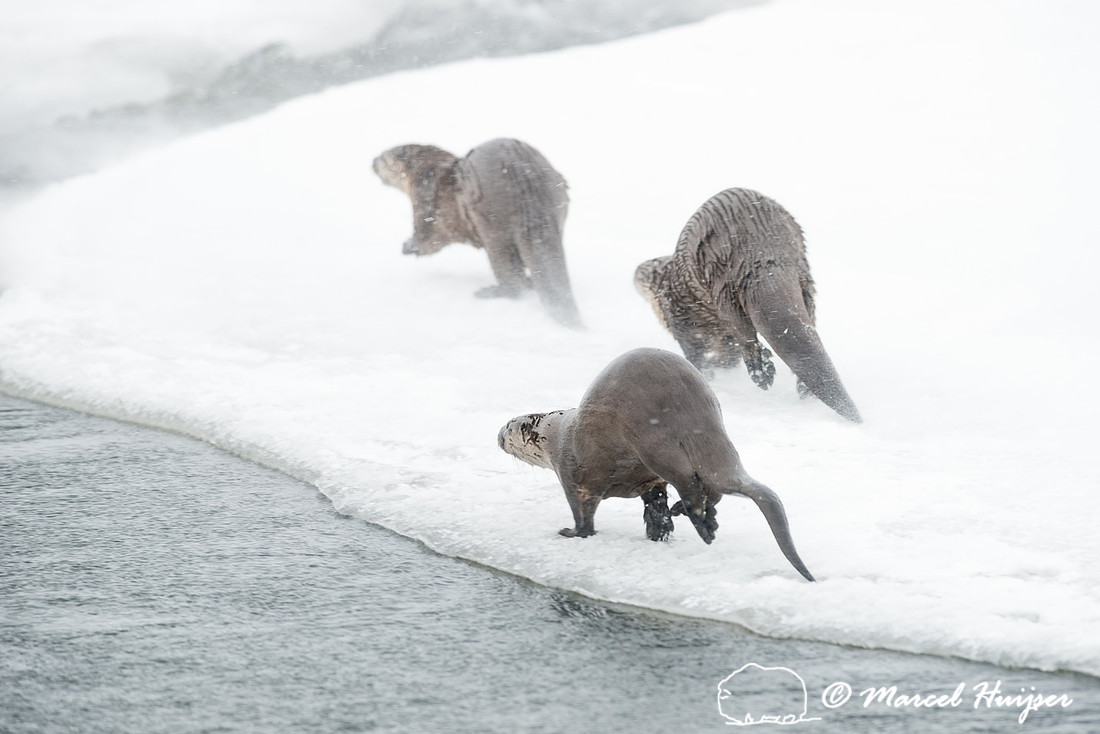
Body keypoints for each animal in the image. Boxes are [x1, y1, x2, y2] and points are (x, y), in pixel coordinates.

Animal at [373, 138, 582, 327]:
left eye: (382, 157)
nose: (372, 161)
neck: (426, 169)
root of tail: (528, 185)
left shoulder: (427, 196)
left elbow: (429, 235)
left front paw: (409, 246)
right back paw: (530, 281)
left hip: (493, 226)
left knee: (511, 278)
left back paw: (492, 292)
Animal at [498, 347, 815, 582]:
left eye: (508, 426)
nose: (497, 435)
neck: (556, 434)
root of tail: (693, 413)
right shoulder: (645, 480)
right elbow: (653, 500)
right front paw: (658, 530)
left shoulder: (571, 474)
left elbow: (582, 513)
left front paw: (572, 532)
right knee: (711, 489)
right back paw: (702, 518)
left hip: (652, 441)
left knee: (688, 482)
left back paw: (702, 526)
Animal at [635, 188, 861, 422]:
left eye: (646, 271)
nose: (636, 271)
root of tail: (761, 253)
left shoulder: (681, 323)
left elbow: (698, 355)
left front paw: (709, 373)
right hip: (804, 272)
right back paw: (800, 386)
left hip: (719, 276)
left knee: (740, 328)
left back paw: (760, 369)